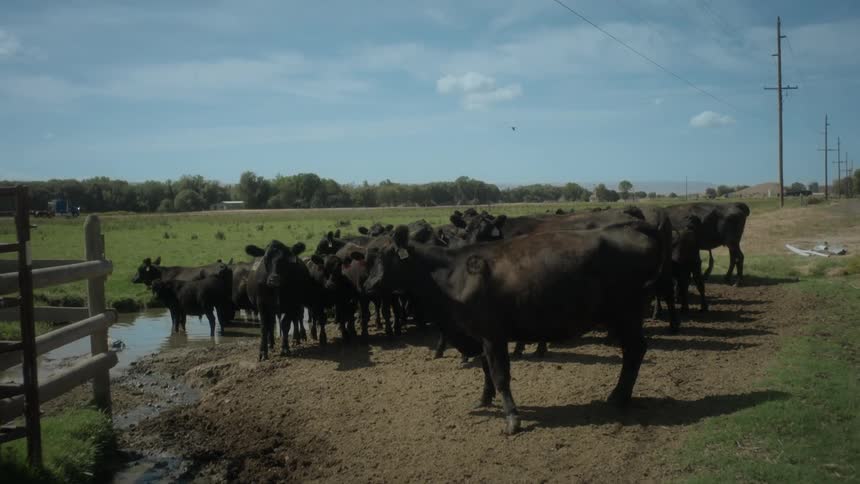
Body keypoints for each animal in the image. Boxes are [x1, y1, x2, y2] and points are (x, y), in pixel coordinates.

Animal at [365, 224, 663, 434]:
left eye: (386, 254)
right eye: (369, 255)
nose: (368, 285)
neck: (451, 273)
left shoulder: (492, 334)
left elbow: (500, 375)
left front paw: (511, 419)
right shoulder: (479, 335)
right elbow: (486, 370)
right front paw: (484, 400)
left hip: (627, 315)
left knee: (635, 351)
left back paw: (619, 396)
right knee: (634, 350)